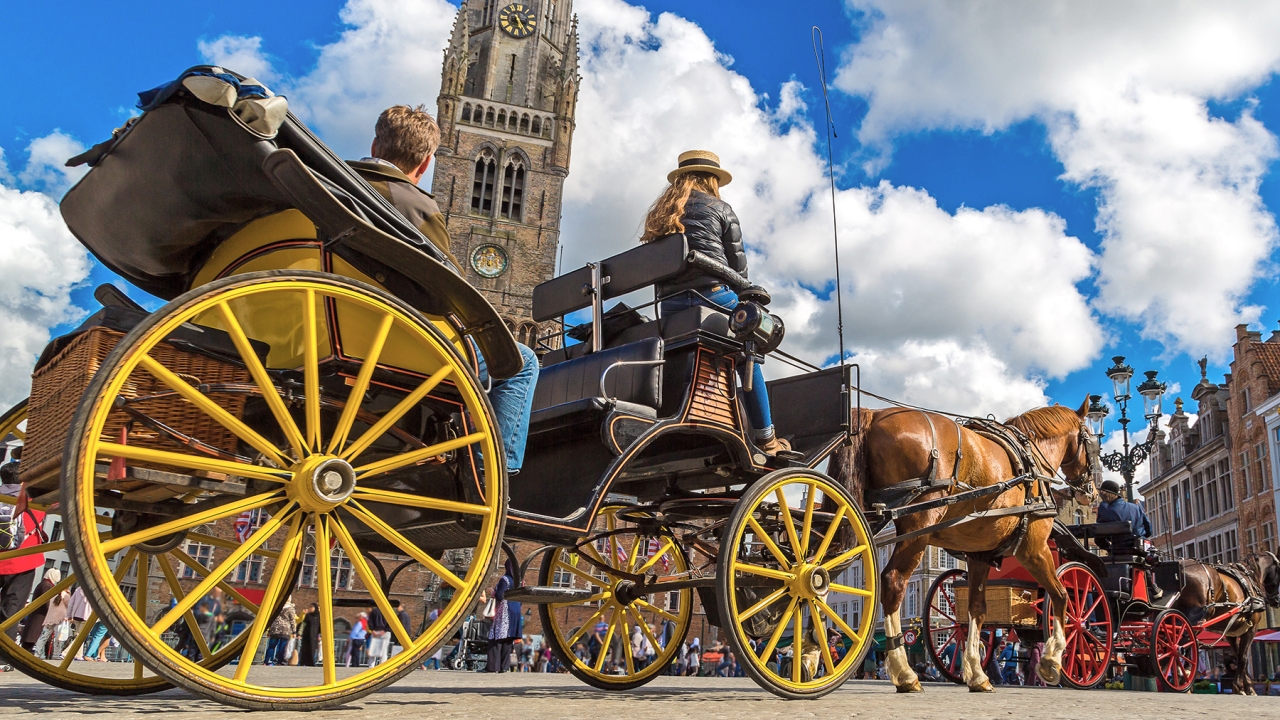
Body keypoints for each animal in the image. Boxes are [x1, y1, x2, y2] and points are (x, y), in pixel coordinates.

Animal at [829, 397, 1100, 691]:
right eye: (1094, 445)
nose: (1092, 493)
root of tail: (873, 414)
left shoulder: (979, 554)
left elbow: (977, 610)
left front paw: (977, 674)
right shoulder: (1034, 547)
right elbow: (1061, 596)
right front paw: (1052, 662)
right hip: (918, 525)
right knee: (893, 581)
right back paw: (905, 674)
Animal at [1172, 548, 1280, 691]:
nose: (1277, 600)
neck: (1249, 577)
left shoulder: (1231, 632)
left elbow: (1238, 656)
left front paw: (1245, 686)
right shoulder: (1252, 628)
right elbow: (1243, 657)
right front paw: (1241, 686)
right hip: (1195, 619)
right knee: (1180, 643)